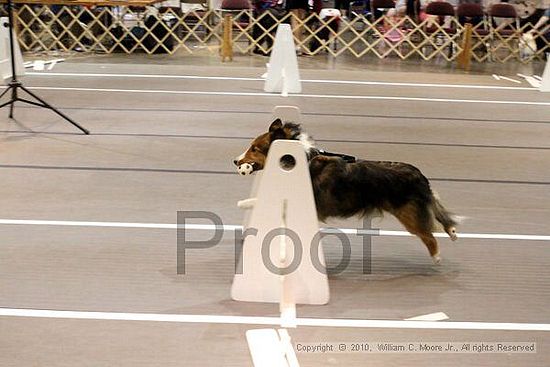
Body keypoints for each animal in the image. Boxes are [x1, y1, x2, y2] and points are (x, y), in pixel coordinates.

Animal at [234, 119, 462, 264]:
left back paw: (437, 257)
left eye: (254, 148)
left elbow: (259, 200)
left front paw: (242, 203)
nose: (236, 161)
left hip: (409, 216)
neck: (299, 160)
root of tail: (419, 175)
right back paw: (451, 232)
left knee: (428, 235)